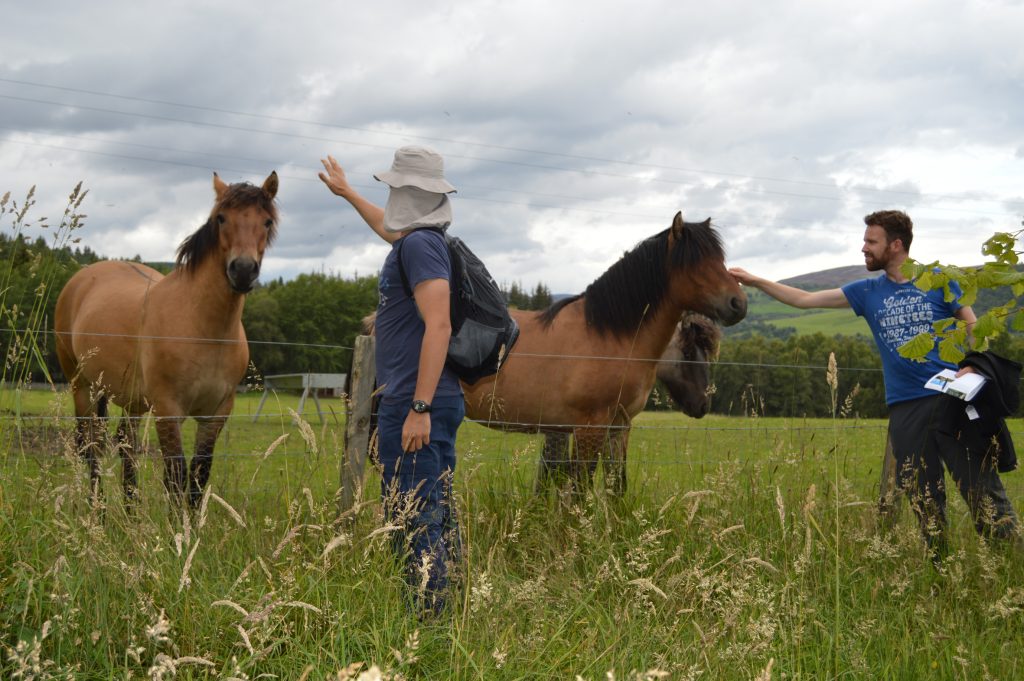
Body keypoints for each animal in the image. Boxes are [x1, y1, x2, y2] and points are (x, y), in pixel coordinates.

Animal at [54, 171, 279, 508]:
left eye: (266, 221)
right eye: (221, 218)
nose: (242, 270)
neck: (205, 329)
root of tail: (82, 278)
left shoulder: (215, 414)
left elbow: (198, 477)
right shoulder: (168, 410)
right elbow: (175, 476)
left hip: (131, 400)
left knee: (126, 445)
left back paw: (131, 514)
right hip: (82, 386)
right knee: (91, 447)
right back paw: (98, 511)